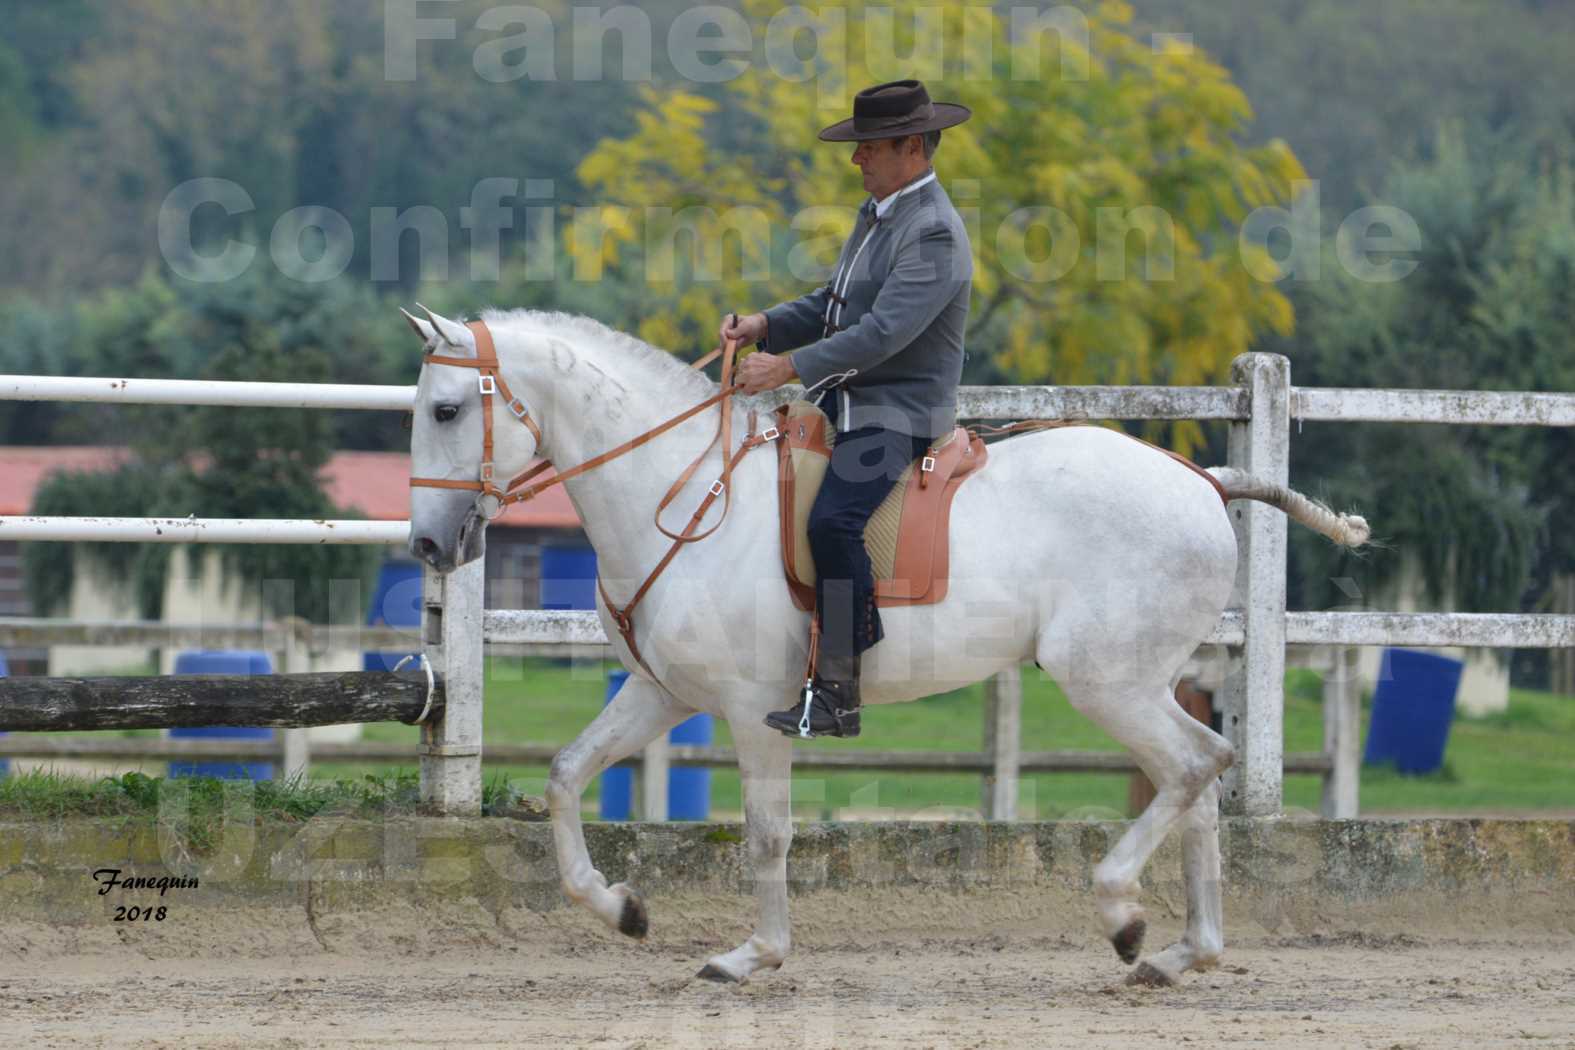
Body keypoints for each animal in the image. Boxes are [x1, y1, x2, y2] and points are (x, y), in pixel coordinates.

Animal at [403, 303, 1367, 988]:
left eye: (447, 409)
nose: (428, 546)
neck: (683, 492)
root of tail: (1203, 479)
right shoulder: (661, 694)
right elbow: (565, 777)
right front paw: (621, 910)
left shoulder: (754, 713)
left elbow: (766, 836)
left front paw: (752, 955)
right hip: (1138, 681)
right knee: (1197, 775)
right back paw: (1179, 953)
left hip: (1105, 681)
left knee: (1195, 766)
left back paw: (1124, 919)